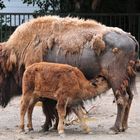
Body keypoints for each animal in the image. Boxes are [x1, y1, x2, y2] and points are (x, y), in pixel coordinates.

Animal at [0, 15, 138, 133]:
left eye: (1, 71)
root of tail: (130, 38)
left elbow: (48, 109)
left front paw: (46, 127)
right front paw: (54, 126)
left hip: (116, 80)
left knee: (122, 99)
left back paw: (115, 128)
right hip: (127, 81)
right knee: (130, 98)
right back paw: (124, 126)